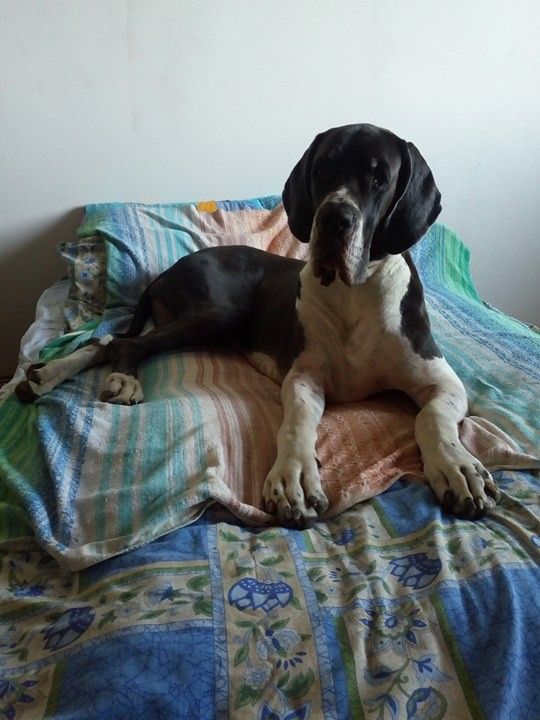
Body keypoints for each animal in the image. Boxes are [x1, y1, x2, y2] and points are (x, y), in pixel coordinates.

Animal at [16, 123, 500, 525]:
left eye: (380, 178)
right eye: (321, 170)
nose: (334, 219)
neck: (355, 293)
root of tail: (171, 267)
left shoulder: (443, 381)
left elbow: (431, 417)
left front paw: (455, 467)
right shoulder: (304, 376)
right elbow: (297, 420)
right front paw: (295, 475)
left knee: (109, 340)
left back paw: (46, 376)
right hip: (217, 312)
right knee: (122, 343)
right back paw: (110, 379)